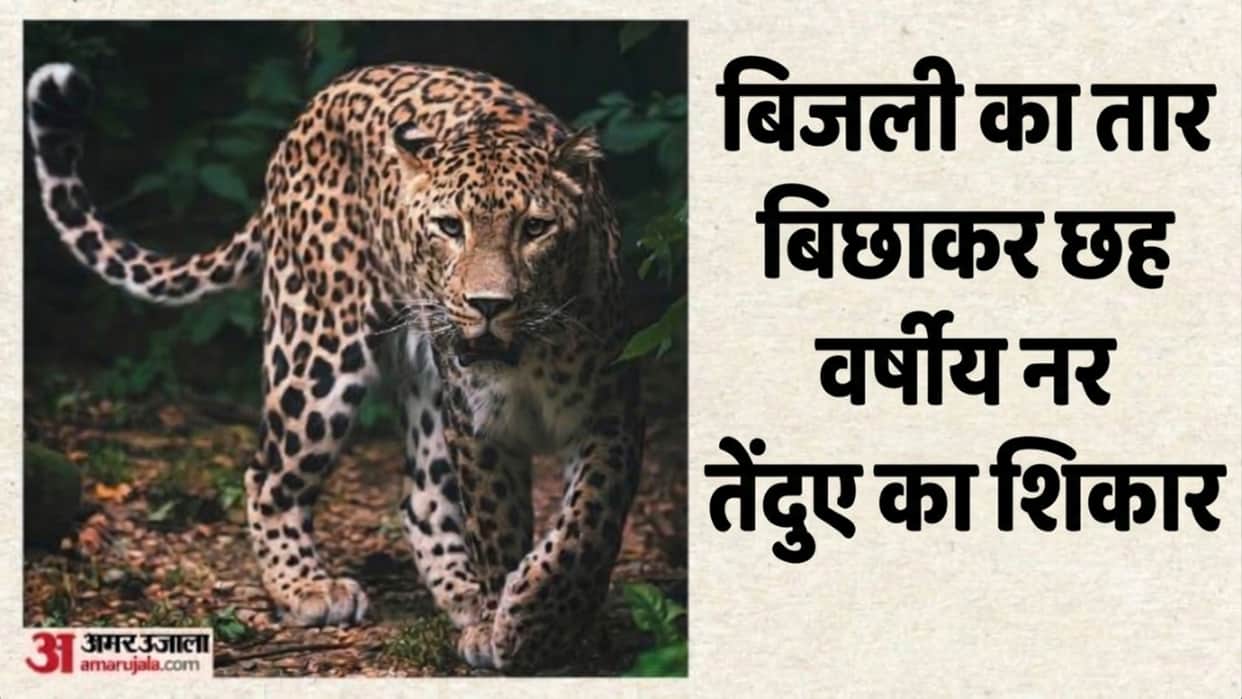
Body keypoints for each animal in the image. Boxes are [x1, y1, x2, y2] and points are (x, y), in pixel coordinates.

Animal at [25, 60, 644, 672]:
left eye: (535, 228)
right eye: (450, 227)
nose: (489, 305)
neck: (528, 355)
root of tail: (316, 105)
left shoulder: (611, 415)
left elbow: (587, 528)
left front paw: (543, 619)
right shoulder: (477, 426)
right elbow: (498, 527)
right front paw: (510, 626)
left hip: (422, 385)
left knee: (421, 497)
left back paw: (462, 597)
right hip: (317, 353)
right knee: (267, 474)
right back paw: (309, 588)